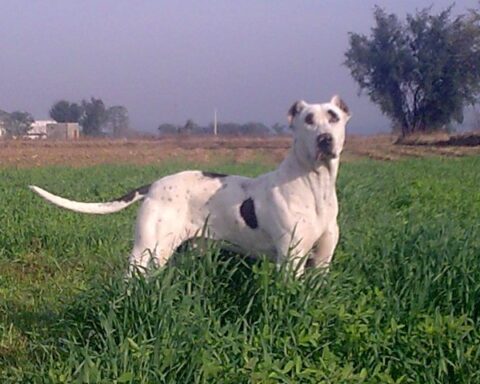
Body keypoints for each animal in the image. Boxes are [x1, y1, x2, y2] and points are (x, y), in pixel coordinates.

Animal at [31, 97, 350, 276]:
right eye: (308, 120)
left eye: (333, 117)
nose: (325, 139)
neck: (314, 185)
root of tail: (155, 185)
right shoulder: (291, 260)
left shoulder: (322, 261)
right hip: (148, 249)